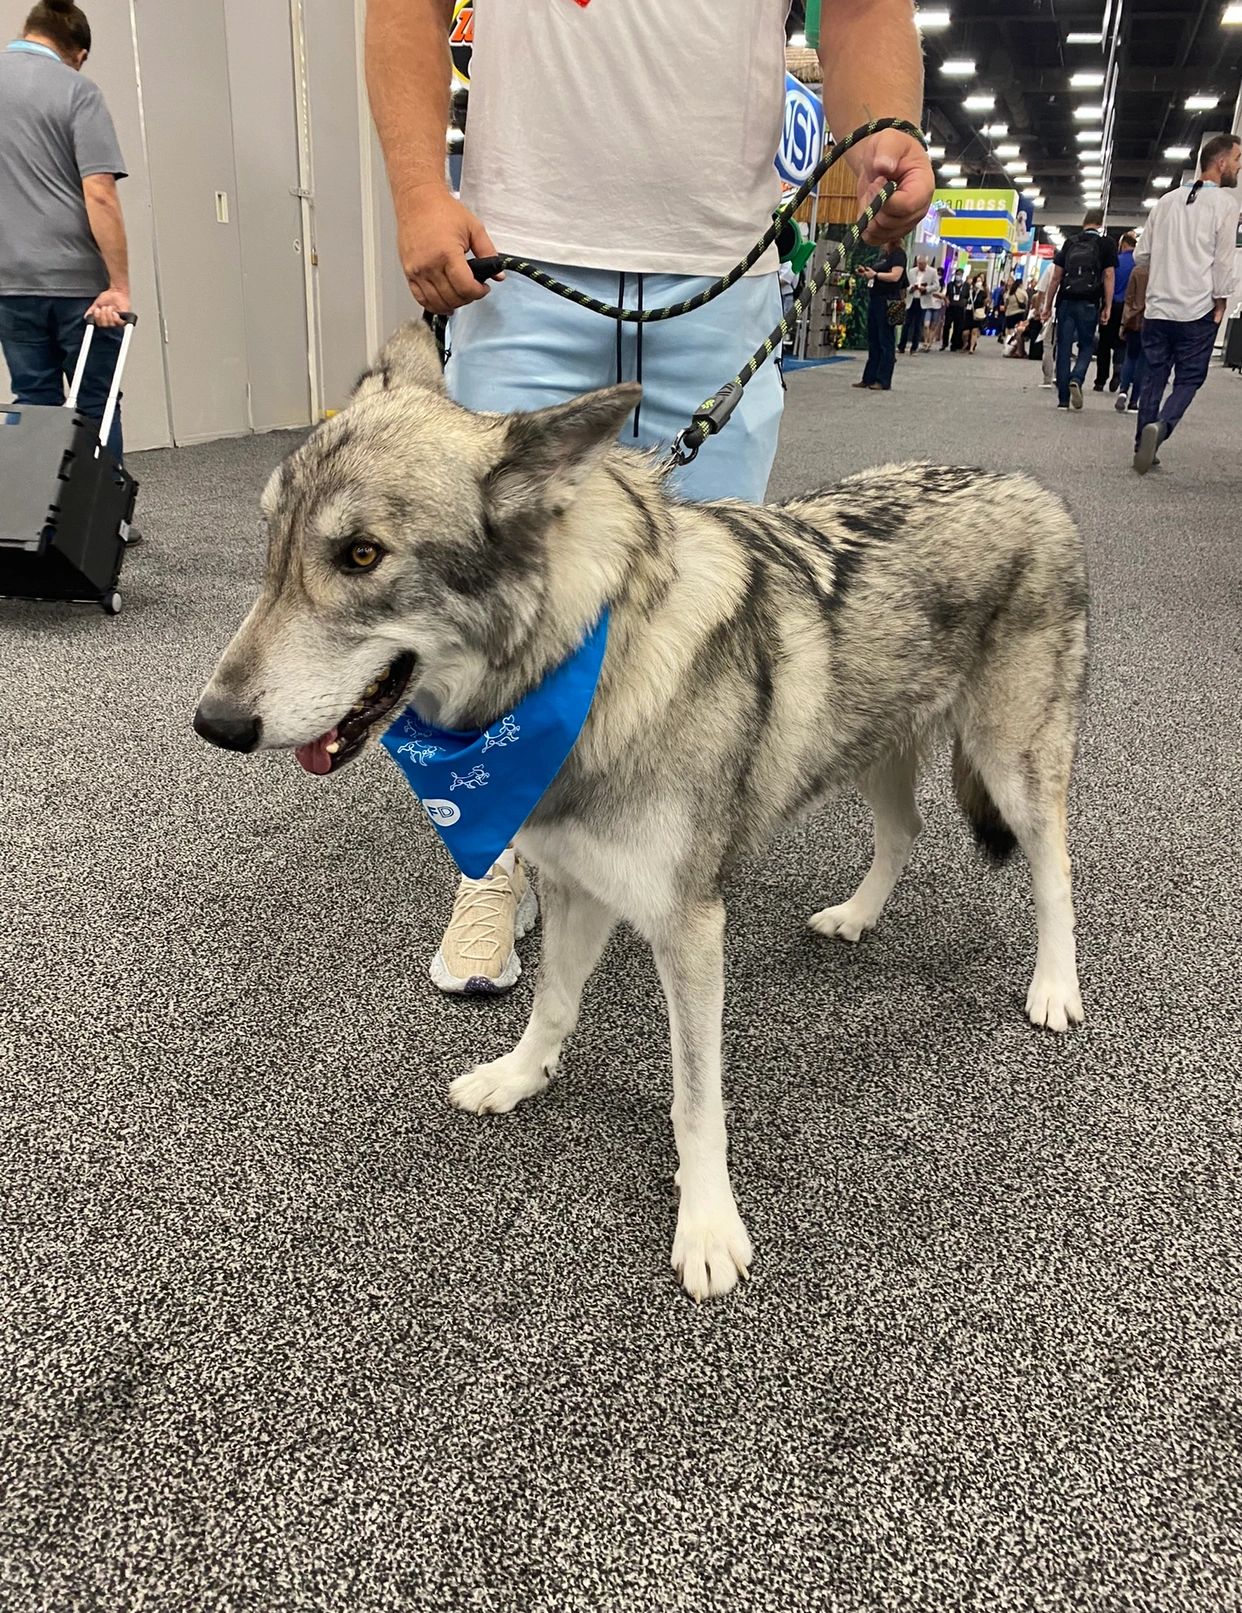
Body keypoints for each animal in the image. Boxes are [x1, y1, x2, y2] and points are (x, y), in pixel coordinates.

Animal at [193, 324, 1083, 1296]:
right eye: (272, 543)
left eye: (360, 555)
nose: (214, 724)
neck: (585, 662)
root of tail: (1034, 489)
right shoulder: (578, 889)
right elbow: (552, 1003)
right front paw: (519, 1077)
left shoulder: (687, 926)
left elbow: (696, 1098)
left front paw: (708, 1225)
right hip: (873, 753)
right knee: (906, 832)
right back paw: (857, 915)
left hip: (1012, 768)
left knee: (1055, 873)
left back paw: (1055, 987)